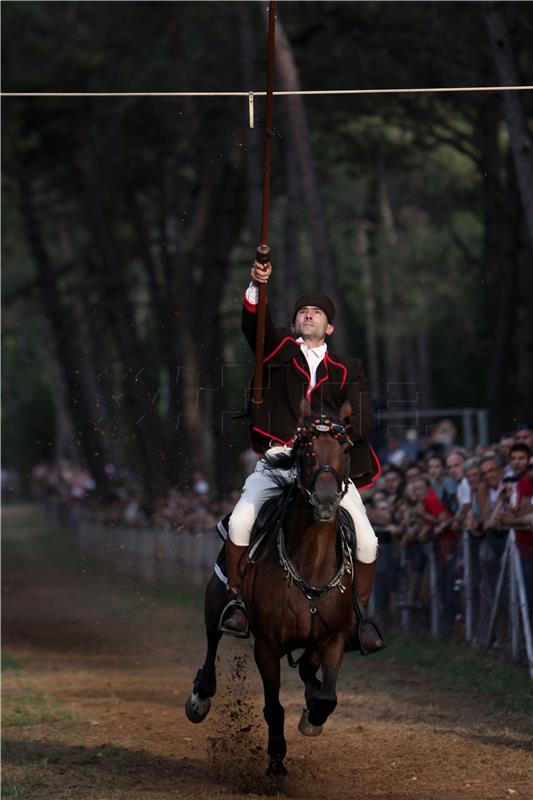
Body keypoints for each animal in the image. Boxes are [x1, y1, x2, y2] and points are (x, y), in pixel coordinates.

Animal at [186, 400, 358, 776]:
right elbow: (274, 706)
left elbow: (327, 695)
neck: (311, 566)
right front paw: (277, 756)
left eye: (345, 450)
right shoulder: (266, 646)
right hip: (216, 599)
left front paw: (313, 716)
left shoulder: (333, 638)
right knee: (212, 636)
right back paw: (200, 696)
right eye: (307, 451)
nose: (325, 501)